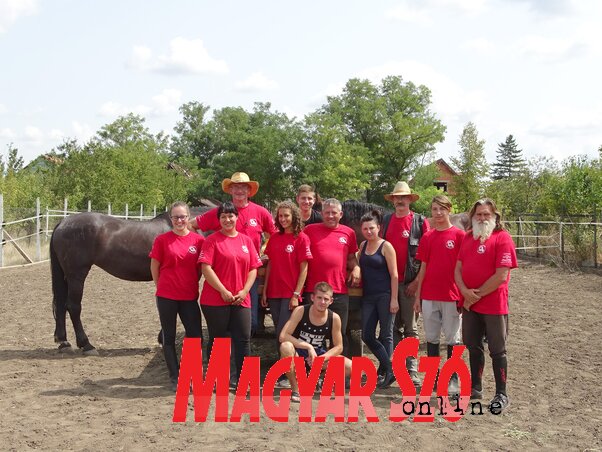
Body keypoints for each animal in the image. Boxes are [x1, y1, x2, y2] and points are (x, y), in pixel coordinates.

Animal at [50, 207, 209, 354]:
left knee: (61, 304)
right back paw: (86, 345)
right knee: (73, 307)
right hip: (76, 275)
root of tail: (63, 223)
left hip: (66, 276)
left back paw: (64, 342)